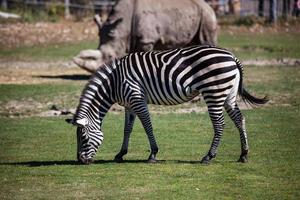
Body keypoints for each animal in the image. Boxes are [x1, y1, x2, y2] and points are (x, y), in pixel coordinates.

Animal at [65, 45, 268, 164]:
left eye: (83, 138)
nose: (80, 161)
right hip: (228, 95)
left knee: (220, 124)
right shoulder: (129, 104)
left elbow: (147, 126)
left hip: (214, 92)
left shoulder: (137, 98)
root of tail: (232, 57)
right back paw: (243, 155)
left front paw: (153, 154)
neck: (114, 83)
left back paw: (208, 156)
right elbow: (127, 129)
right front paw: (120, 154)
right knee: (239, 119)